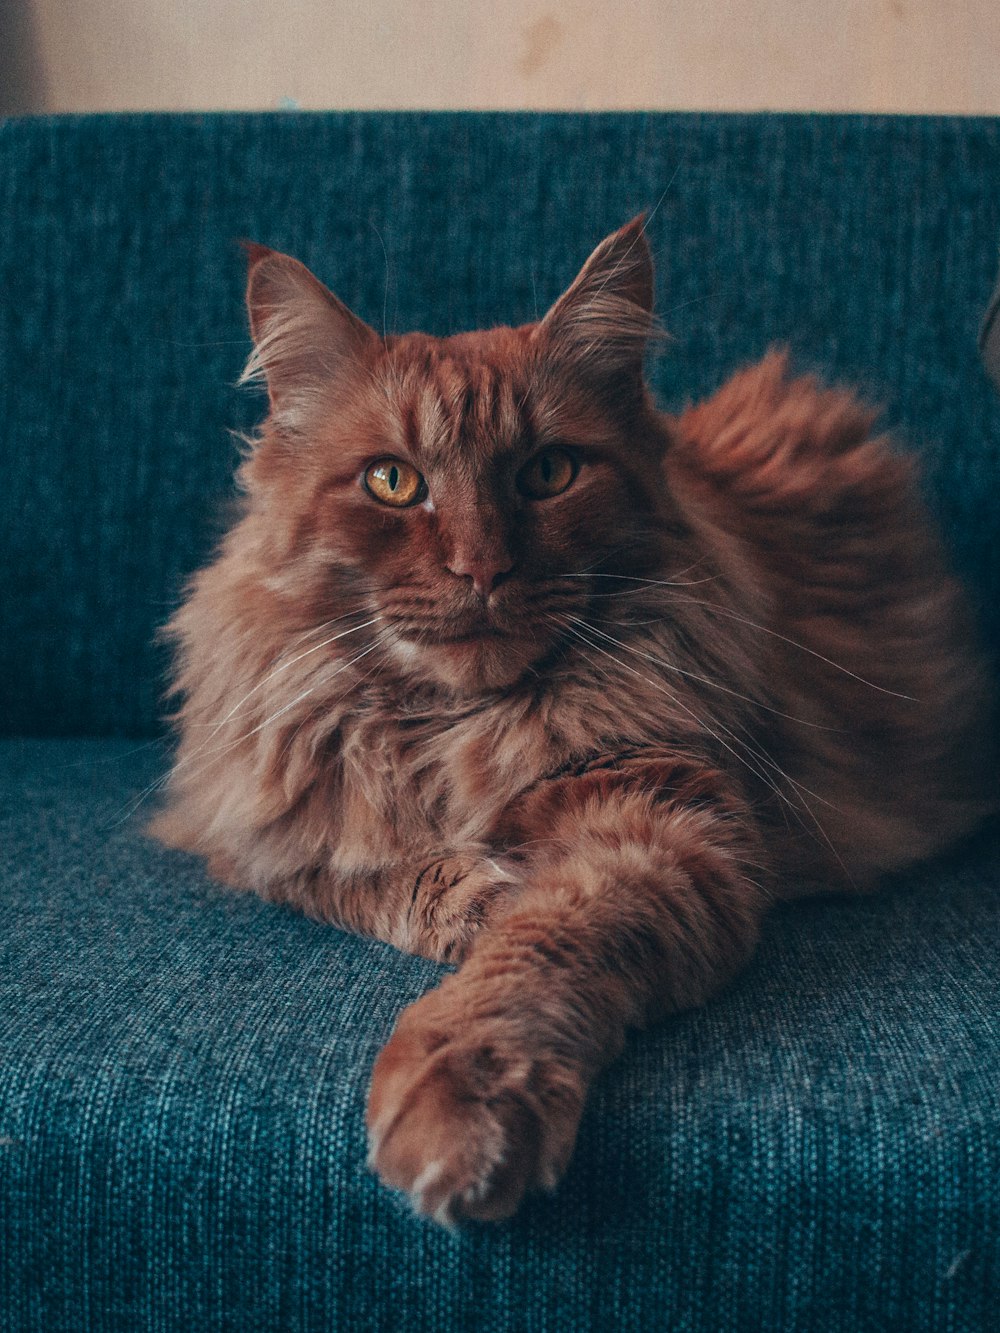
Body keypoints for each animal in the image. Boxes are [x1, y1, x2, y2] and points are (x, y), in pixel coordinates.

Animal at [152, 218, 997, 1226]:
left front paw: (461, 1096)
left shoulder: (662, 819)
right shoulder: (259, 825)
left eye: (548, 472)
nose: (482, 568)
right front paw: (479, 896)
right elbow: (365, 871)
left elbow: (543, 945)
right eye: (393, 481)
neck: (455, 726)